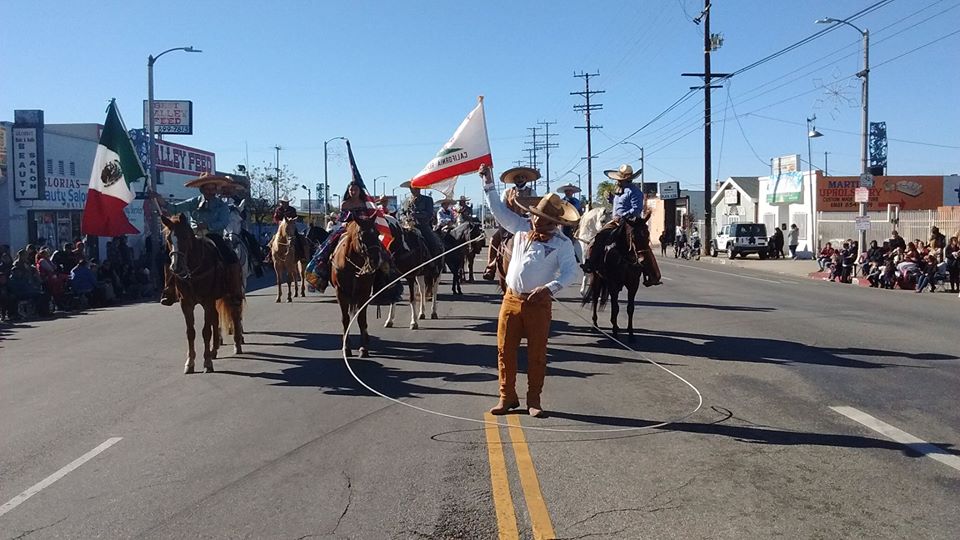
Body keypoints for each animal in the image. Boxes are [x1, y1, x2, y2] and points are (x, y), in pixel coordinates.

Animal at [162, 213, 246, 374]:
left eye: (185, 237)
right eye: (169, 239)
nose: (176, 267)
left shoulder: (207, 301)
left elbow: (206, 331)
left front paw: (207, 363)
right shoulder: (186, 304)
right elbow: (191, 332)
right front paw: (190, 363)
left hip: (232, 294)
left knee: (235, 315)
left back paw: (237, 344)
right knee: (216, 319)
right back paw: (214, 349)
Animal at [328, 215, 380, 358]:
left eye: (377, 234)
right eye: (361, 236)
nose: (375, 260)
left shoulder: (364, 293)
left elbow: (362, 319)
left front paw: (363, 348)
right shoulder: (341, 293)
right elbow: (345, 319)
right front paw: (346, 347)